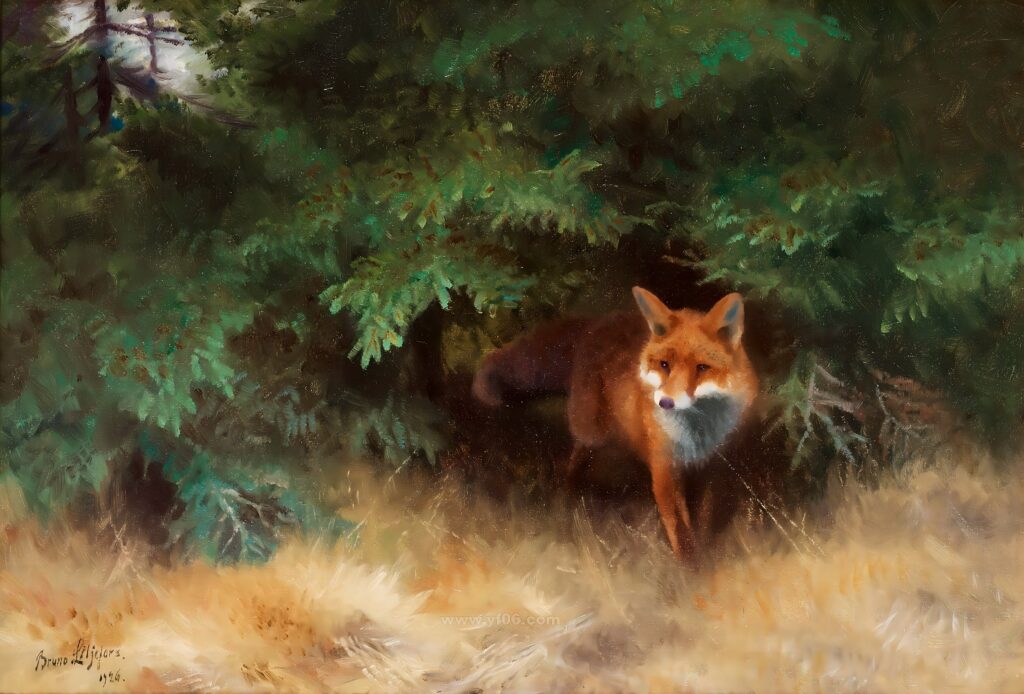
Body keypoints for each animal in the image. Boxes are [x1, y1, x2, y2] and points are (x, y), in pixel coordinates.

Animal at [472, 287, 760, 561]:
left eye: (702, 368)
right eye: (664, 364)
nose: (665, 402)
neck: (698, 434)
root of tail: (598, 322)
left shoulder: (715, 468)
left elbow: (705, 519)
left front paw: (707, 557)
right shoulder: (665, 468)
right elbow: (680, 529)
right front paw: (690, 570)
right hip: (591, 432)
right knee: (573, 462)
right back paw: (566, 498)